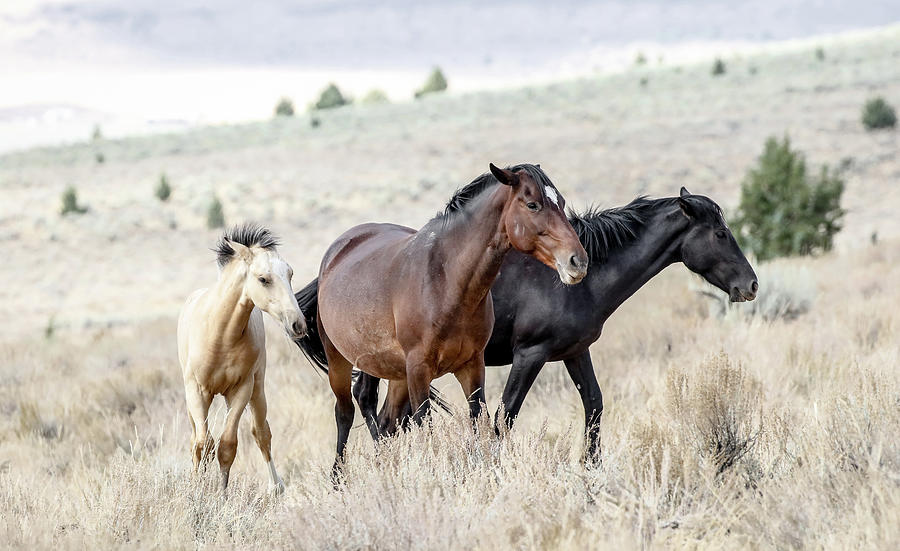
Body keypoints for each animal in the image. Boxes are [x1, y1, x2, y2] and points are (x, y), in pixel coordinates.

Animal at [178, 225, 308, 496]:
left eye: (290, 274)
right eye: (263, 279)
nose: (298, 324)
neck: (220, 335)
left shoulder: (241, 389)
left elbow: (227, 445)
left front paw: (222, 495)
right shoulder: (196, 390)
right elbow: (202, 444)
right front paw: (196, 492)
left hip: (257, 390)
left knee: (262, 434)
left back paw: (275, 487)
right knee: (199, 439)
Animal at [298, 164, 592, 474]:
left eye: (561, 203)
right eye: (532, 204)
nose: (577, 261)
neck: (446, 280)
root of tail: (335, 253)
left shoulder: (471, 365)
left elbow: (479, 421)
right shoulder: (419, 368)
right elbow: (425, 427)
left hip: (390, 369)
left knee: (382, 414)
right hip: (339, 362)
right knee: (345, 413)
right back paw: (338, 477)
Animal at [298, 188, 756, 460]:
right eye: (720, 233)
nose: (749, 285)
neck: (577, 281)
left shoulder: (575, 352)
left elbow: (594, 406)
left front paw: (591, 470)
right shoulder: (530, 355)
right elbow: (504, 418)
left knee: (383, 413)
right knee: (376, 411)